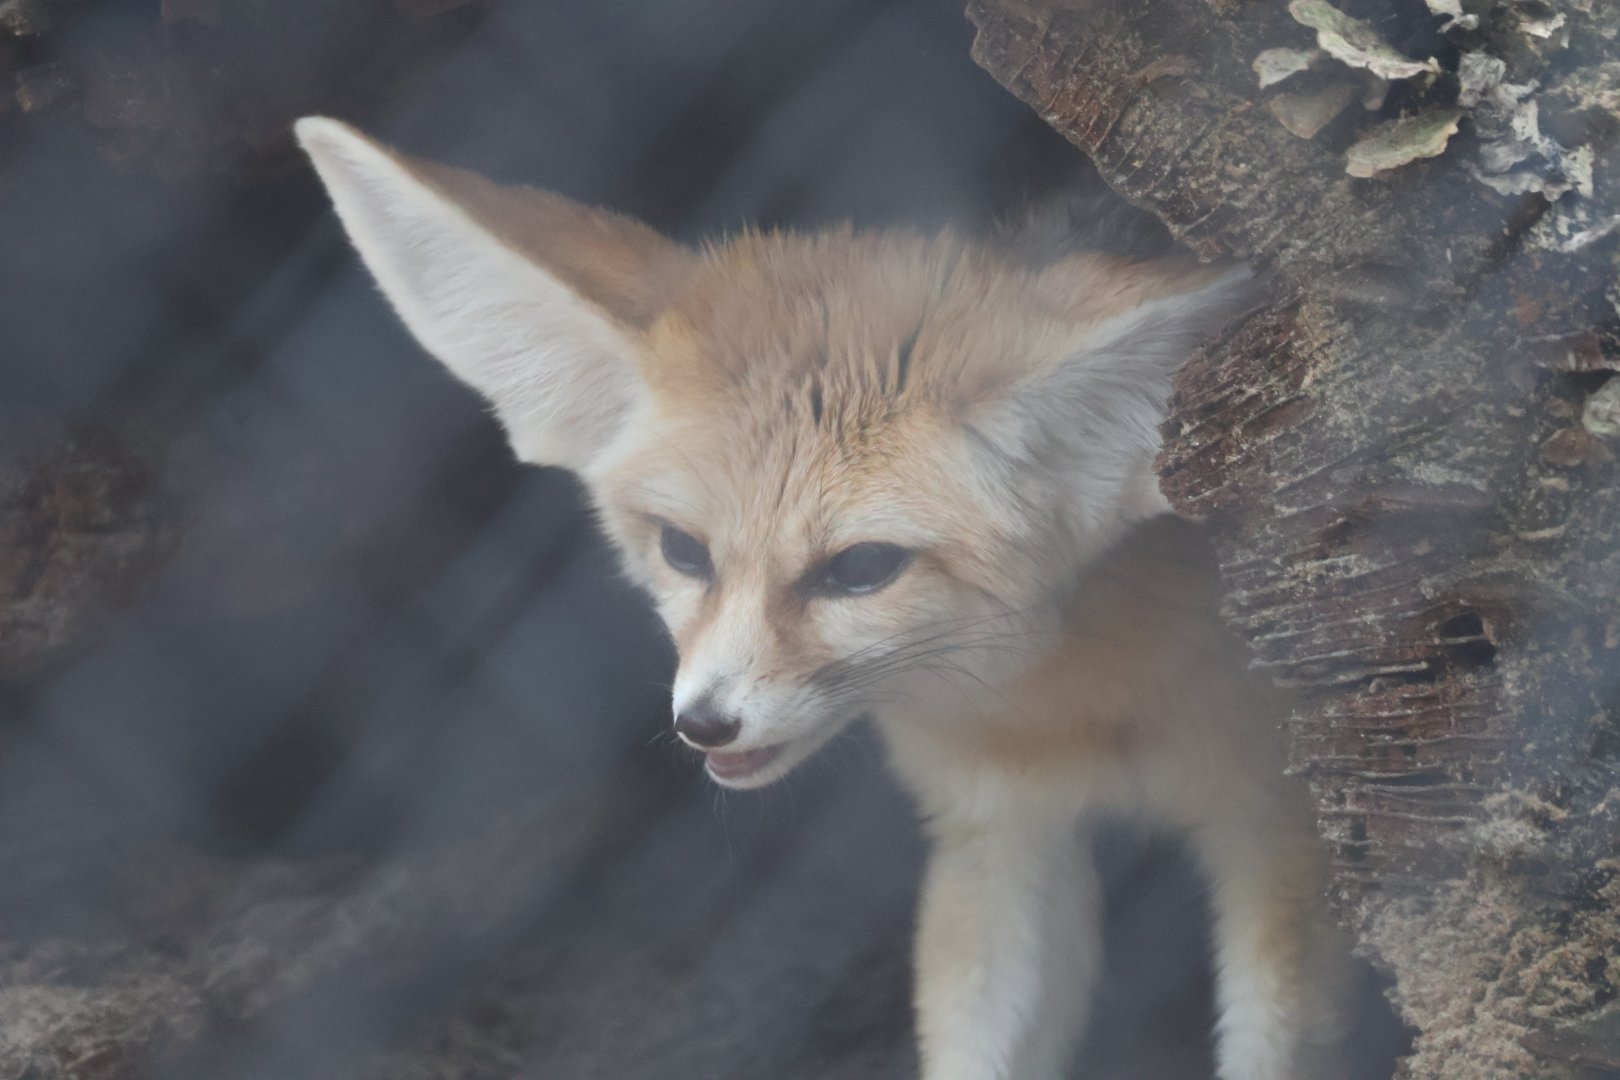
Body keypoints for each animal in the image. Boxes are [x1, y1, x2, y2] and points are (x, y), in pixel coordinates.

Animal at [296, 116, 1358, 1080]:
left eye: (859, 569)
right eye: (684, 551)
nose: (704, 723)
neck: (1078, 704)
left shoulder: (1282, 836)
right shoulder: (997, 836)